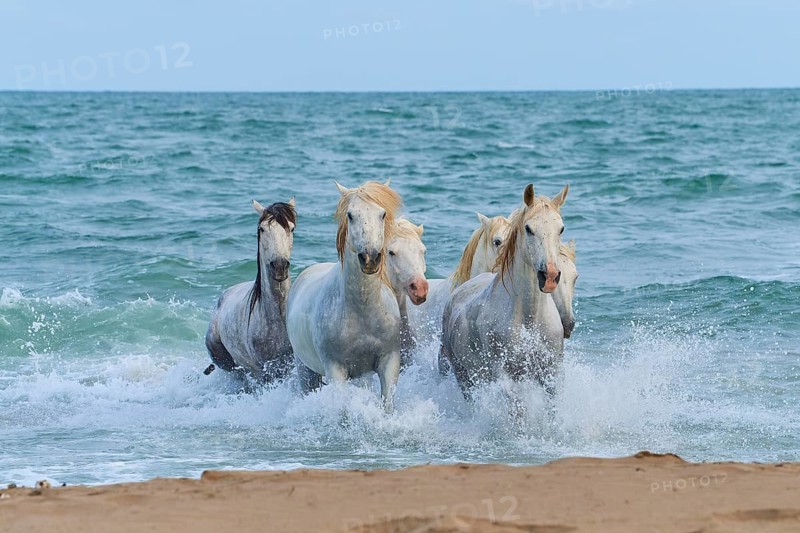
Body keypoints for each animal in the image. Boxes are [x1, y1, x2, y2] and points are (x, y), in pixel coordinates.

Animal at [286, 180, 404, 412]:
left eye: (383, 214)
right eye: (350, 215)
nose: (370, 258)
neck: (363, 309)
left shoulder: (389, 362)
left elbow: (387, 406)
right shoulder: (335, 369)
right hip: (305, 370)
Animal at [440, 183, 569, 399]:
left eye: (561, 228)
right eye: (528, 229)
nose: (550, 276)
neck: (529, 317)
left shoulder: (551, 374)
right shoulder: (506, 377)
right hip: (464, 377)